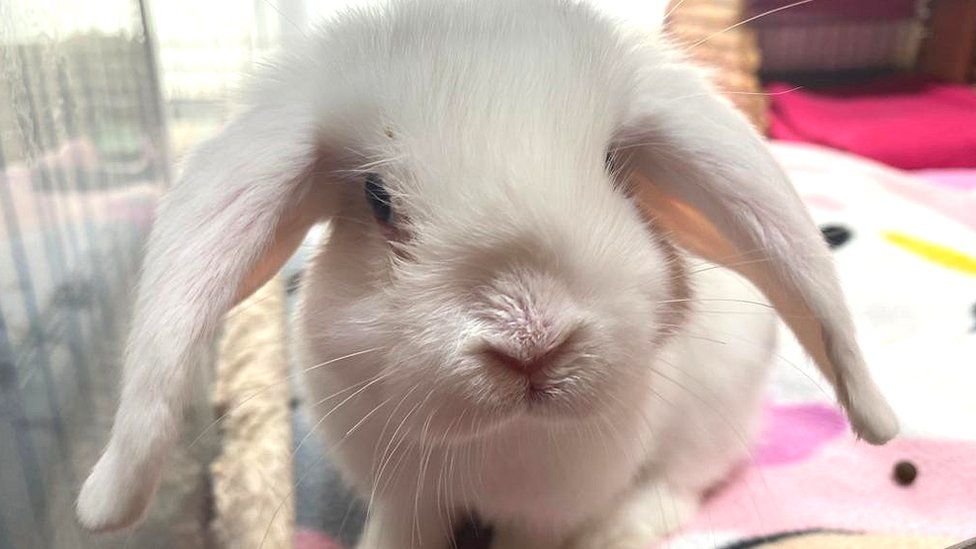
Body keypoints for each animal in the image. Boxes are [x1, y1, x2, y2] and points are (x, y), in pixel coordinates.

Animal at [78, 2, 900, 544]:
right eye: (378, 198)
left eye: (613, 167)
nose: (531, 342)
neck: (500, 440)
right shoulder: (404, 497)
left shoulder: (549, 509)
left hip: (717, 409)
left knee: (687, 480)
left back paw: (624, 528)